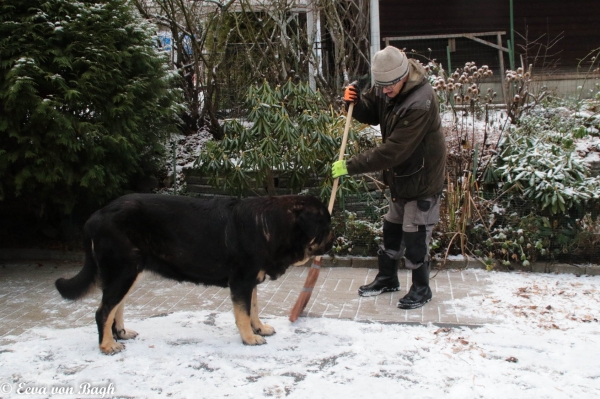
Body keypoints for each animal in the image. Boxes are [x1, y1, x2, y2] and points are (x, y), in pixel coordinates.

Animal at [55, 195, 332, 354]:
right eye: (326, 227)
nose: (333, 240)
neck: (270, 224)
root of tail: (95, 217)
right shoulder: (241, 280)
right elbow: (243, 313)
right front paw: (249, 338)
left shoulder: (251, 279)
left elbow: (253, 308)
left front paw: (259, 328)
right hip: (123, 270)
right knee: (103, 311)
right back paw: (107, 345)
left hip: (130, 272)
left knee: (115, 307)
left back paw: (120, 333)